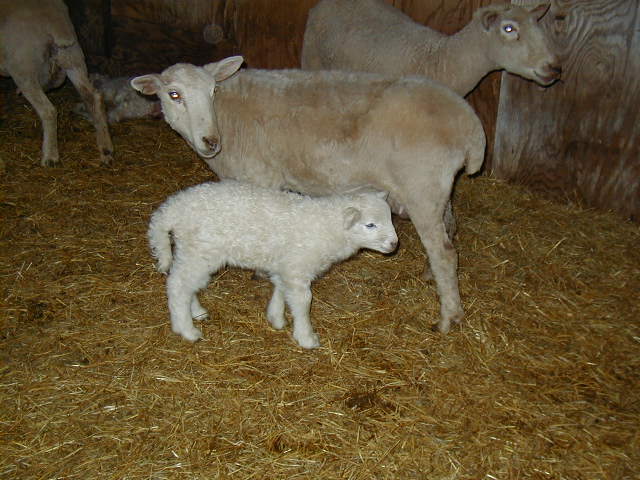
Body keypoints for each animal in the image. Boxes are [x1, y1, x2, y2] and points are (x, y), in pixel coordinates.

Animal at [0, 0, 112, 167]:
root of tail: (55, 20)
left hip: (23, 66)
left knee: (48, 110)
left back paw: (50, 157)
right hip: (72, 56)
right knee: (94, 97)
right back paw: (106, 150)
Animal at [148, 178, 398, 346]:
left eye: (390, 219)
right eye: (370, 225)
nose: (394, 244)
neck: (328, 227)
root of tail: (171, 209)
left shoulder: (287, 265)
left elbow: (280, 289)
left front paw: (276, 318)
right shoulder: (298, 268)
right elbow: (303, 302)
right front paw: (306, 337)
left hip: (192, 252)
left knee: (186, 284)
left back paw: (197, 312)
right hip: (200, 251)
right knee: (178, 286)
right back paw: (186, 330)